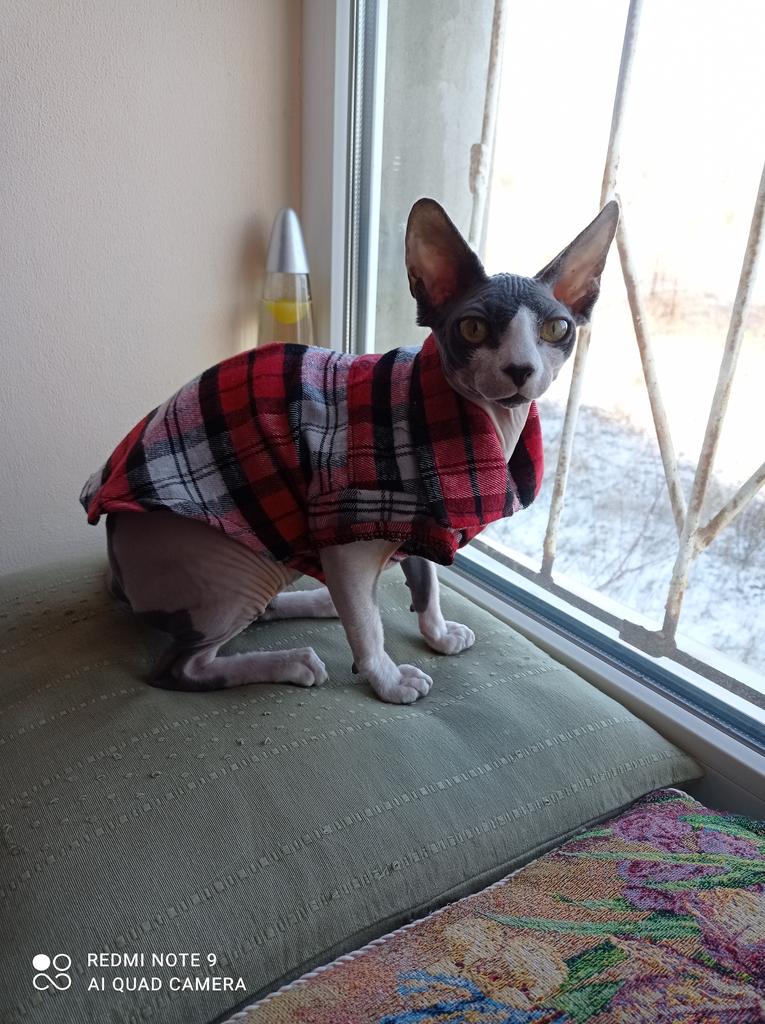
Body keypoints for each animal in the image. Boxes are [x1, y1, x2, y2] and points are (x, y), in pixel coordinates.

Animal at [81, 198, 618, 704]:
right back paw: (293, 662)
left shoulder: (423, 522)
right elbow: (367, 626)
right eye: (473, 329)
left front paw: (438, 635)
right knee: (178, 670)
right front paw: (388, 679)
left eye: (556, 329)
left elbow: (428, 584)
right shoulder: (344, 537)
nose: (521, 370)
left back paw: (319, 603)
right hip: (238, 568)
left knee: (272, 611)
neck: (485, 423)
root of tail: (118, 575)